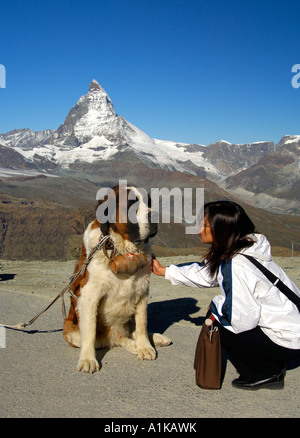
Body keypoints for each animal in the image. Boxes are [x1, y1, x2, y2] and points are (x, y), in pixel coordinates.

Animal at [63, 183, 171, 372]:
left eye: (149, 202)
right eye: (132, 204)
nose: (155, 215)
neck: (122, 248)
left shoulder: (142, 290)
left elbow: (142, 324)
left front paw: (145, 347)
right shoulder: (90, 294)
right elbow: (89, 331)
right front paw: (88, 359)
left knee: (130, 332)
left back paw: (155, 339)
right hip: (70, 329)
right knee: (110, 340)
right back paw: (132, 344)